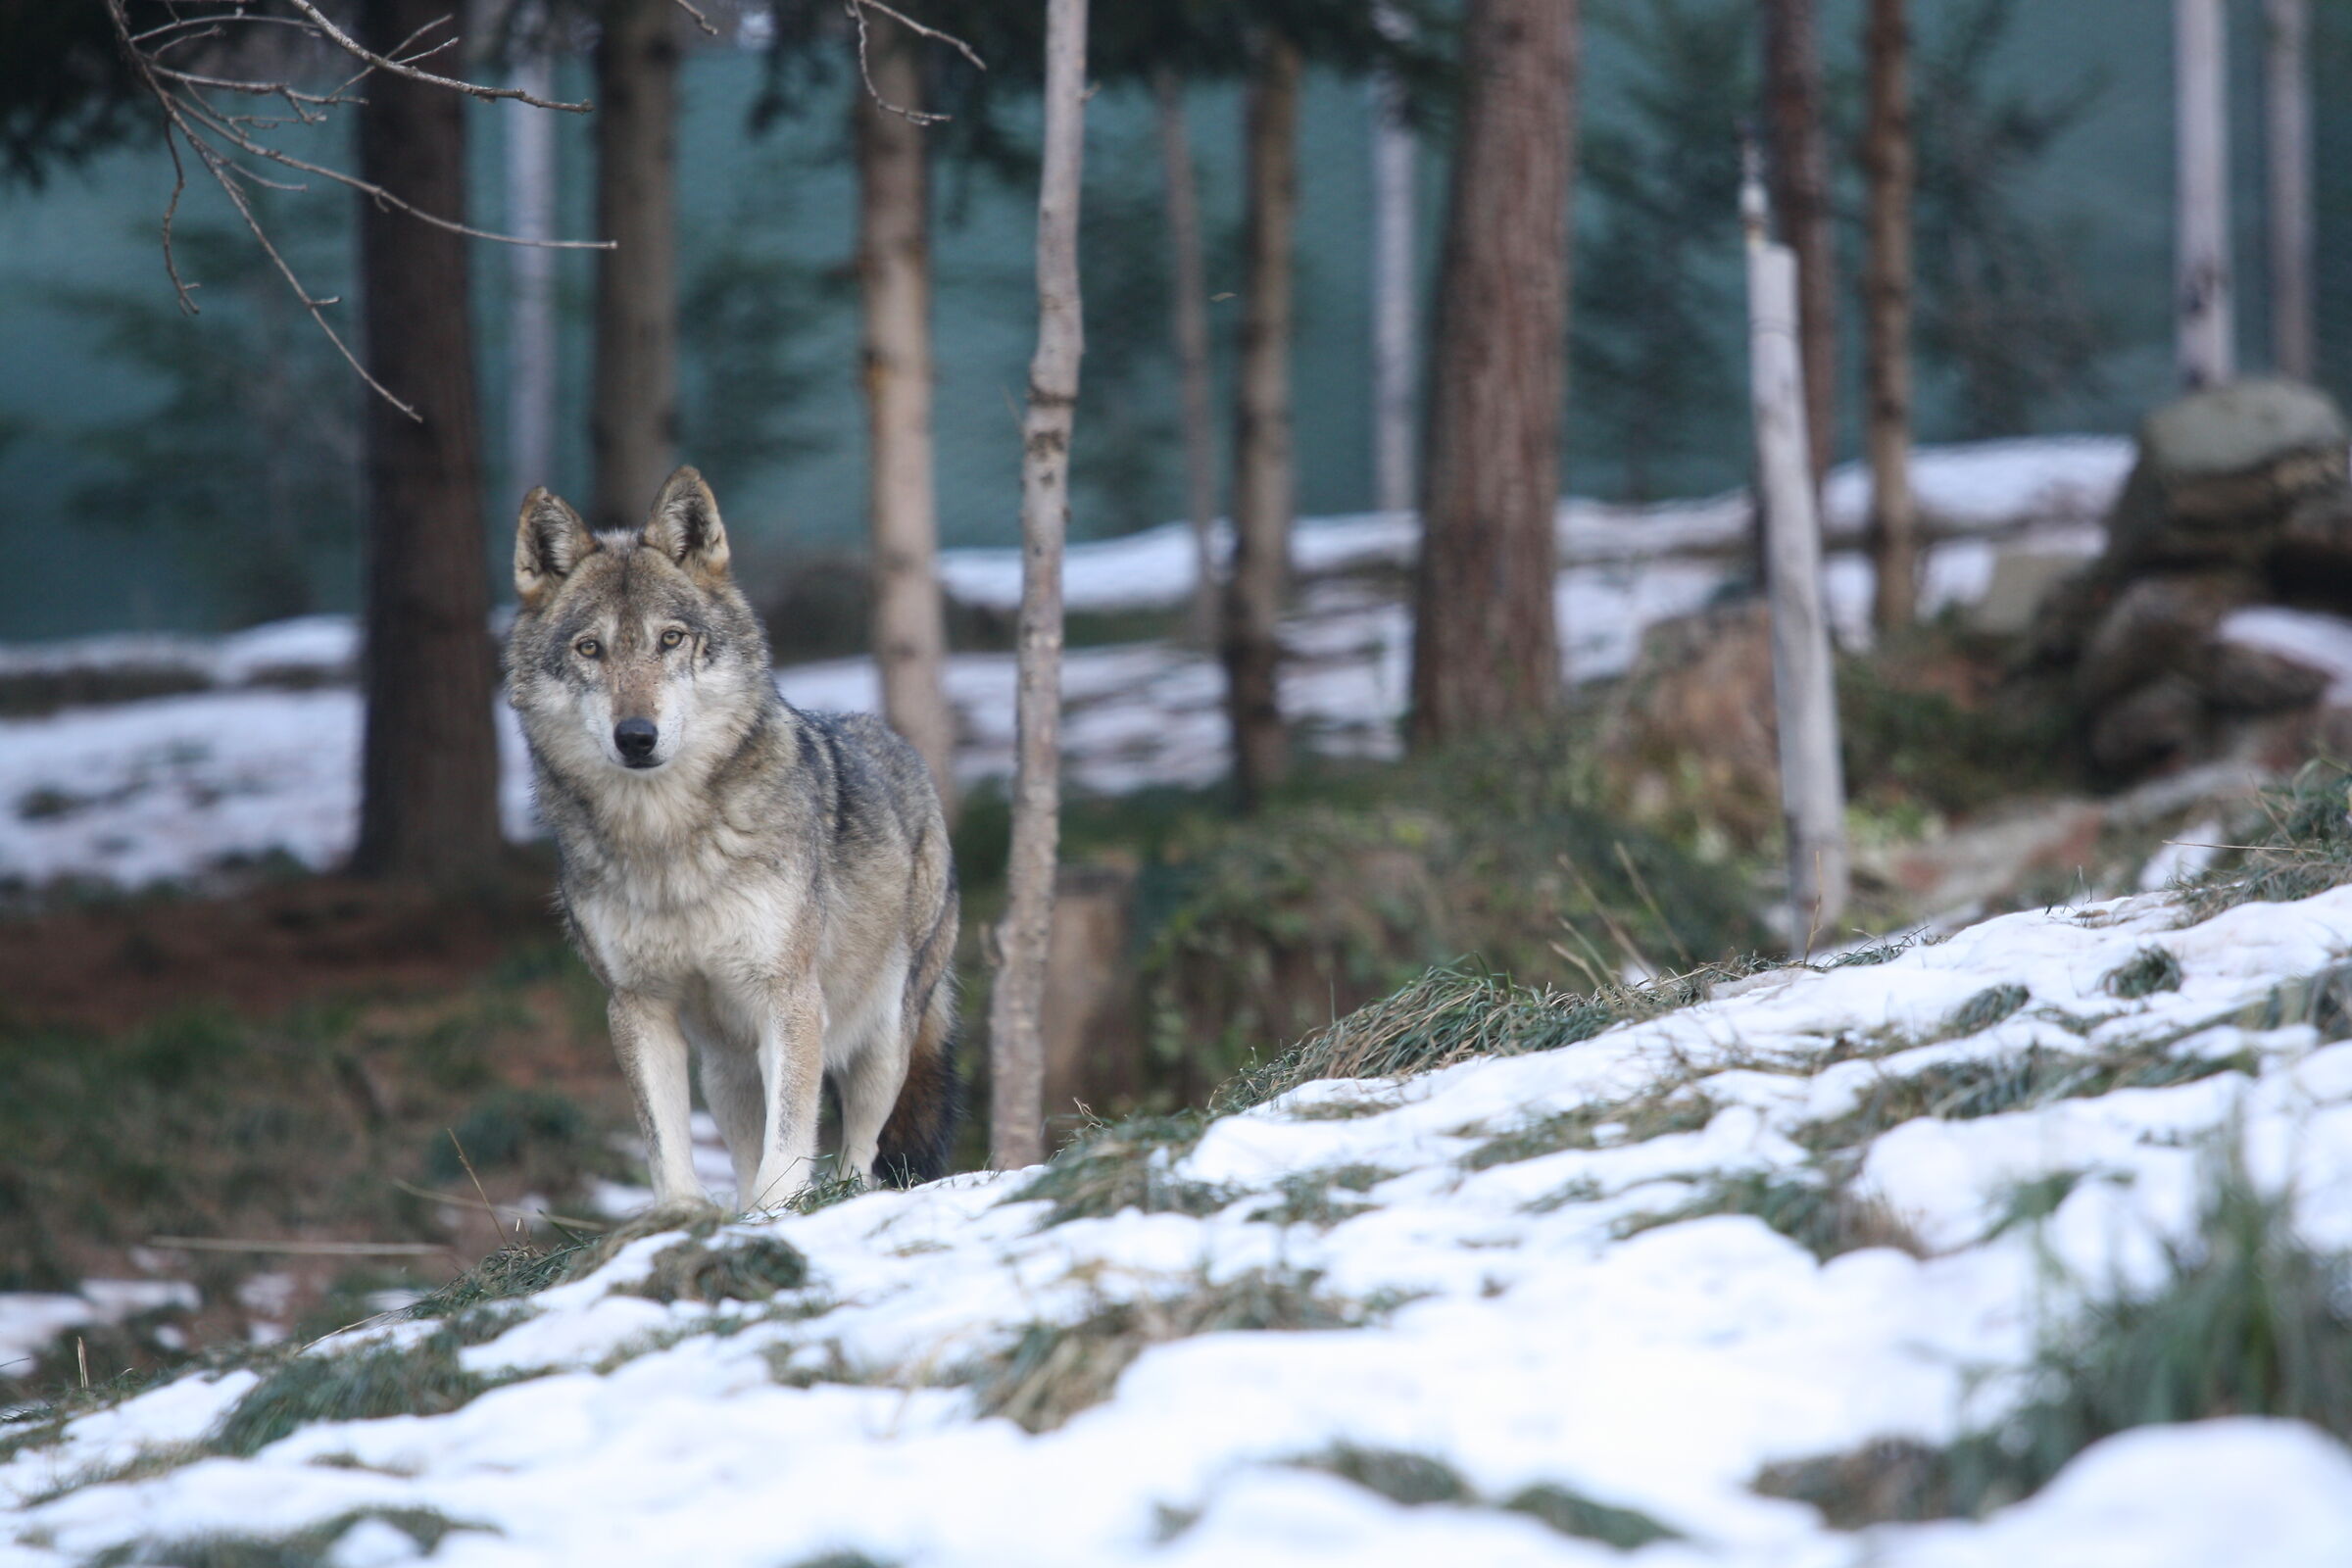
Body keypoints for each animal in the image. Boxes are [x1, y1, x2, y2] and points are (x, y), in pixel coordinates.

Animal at [506, 466, 960, 1212]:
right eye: (590, 649)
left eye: (670, 639)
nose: (636, 737)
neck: (666, 844)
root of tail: (896, 740)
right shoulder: (637, 1006)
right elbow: (666, 1146)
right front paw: (683, 1218)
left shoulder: (790, 997)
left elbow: (790, 1141)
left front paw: (780, 1213)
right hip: (725, 1068)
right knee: (745, 1149)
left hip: (882, 1037)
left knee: (863, 1148)